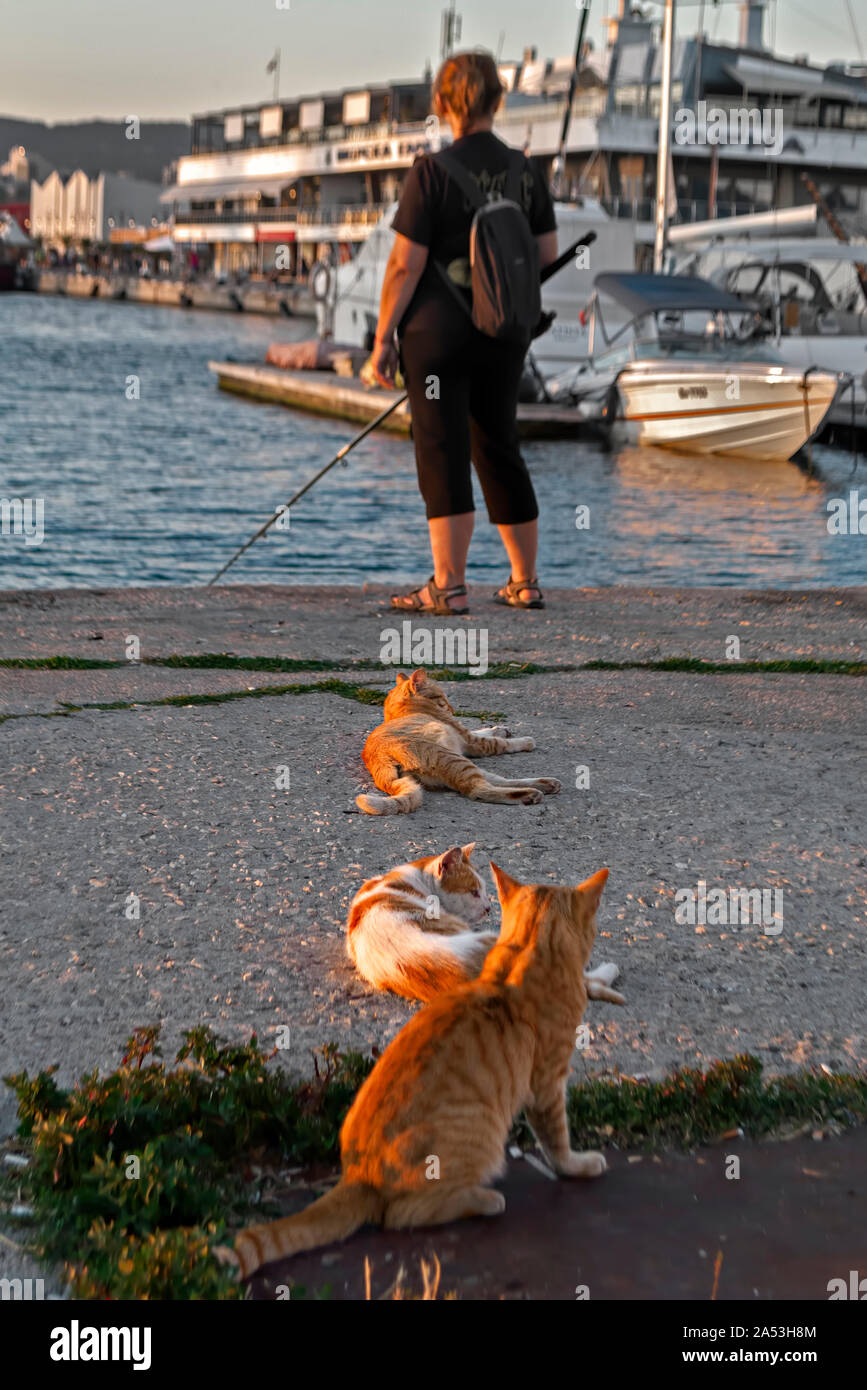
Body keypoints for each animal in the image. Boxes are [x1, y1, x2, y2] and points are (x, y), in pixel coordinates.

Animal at [230, 856, 608, 1278]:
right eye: (474, 890)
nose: (488, 908)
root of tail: (360, 1175)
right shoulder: (546, 1082)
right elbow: (557, 1138)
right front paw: (579, 1165)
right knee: (400, 1215)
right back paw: (484, 1200)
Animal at [355, 669, 558, 811]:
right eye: (444, 698)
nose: (453, 709)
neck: (401, 711)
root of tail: (380, 760)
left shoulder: (465, 737)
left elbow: (485, 731)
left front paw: (500, 729)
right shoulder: (472, 742)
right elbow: (500, 743)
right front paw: (525, 741)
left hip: (462, 762)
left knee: (499, 781)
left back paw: (546, 783)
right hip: (456, 760)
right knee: (479, 790)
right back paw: (530, 794)